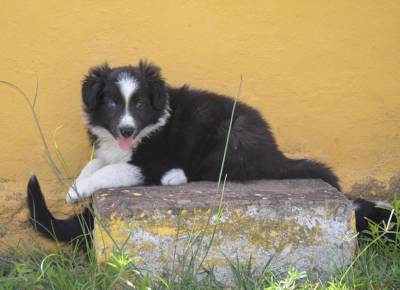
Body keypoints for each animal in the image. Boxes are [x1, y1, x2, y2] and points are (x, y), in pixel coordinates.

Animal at [26, 60, 396, 245]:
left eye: (141, 104)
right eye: (112, 104)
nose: (127, 130)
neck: (144, 131)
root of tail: (274, 149)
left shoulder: (148, 161)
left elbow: (111, 170)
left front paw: (79, 191)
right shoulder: (111, 149)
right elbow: (95, 164)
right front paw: (75, 188)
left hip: (228, 138)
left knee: (221, 170)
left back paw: (176, 177)